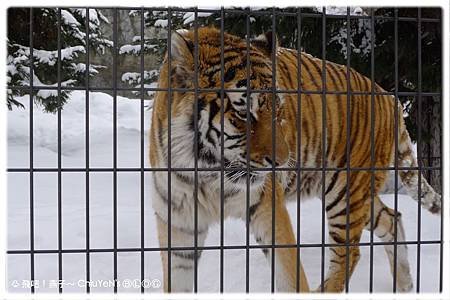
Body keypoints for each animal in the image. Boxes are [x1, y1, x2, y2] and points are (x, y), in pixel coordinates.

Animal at [149, 26, 442, 292]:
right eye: (243, 114)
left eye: (278, 111)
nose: (281, 162)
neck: (207, 171)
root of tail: (389, 96)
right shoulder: (179, 223)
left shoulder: (268, 209)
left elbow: (290, 276)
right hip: (359, 195)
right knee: (392, 218)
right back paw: (405, 285)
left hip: (345, 191)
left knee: (349, 252)